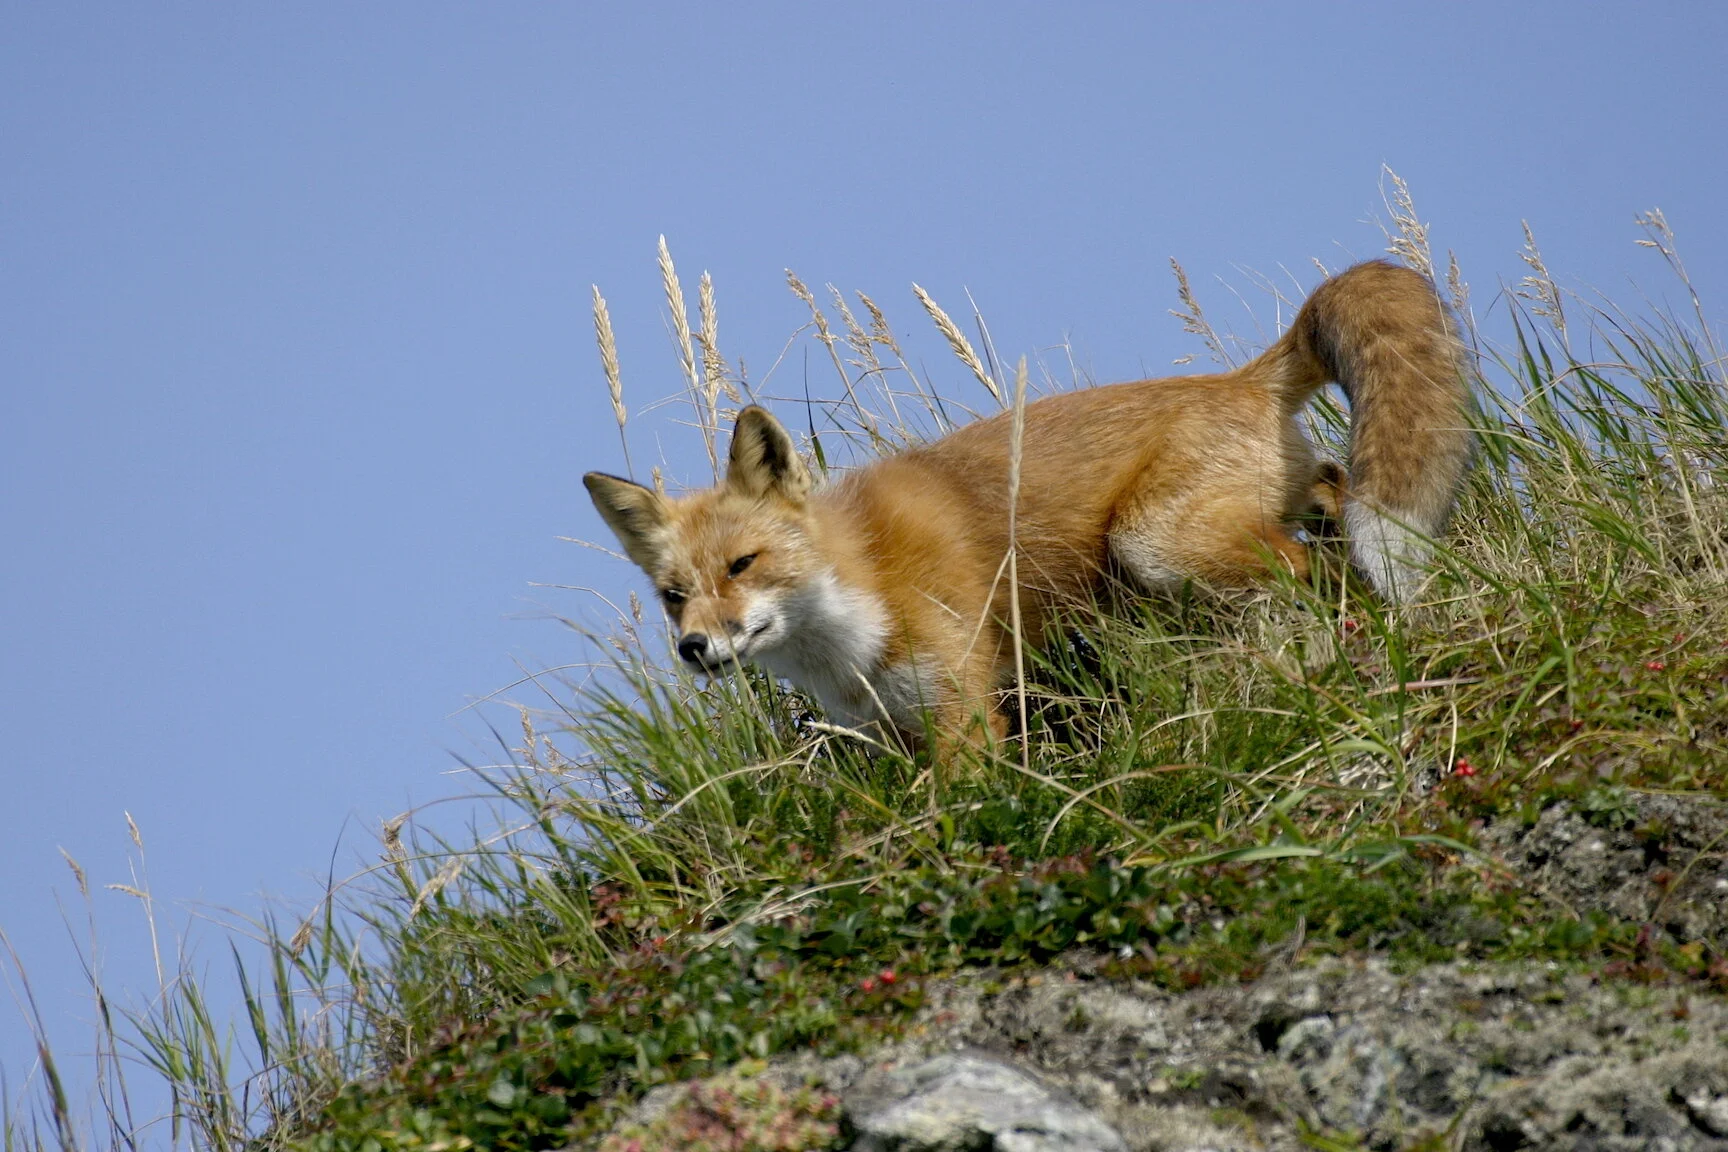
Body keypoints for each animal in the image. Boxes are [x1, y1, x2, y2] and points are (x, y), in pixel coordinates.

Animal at [585, 260, 1472, 755]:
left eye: (743, 565)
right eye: (672, 596)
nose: (695, 647)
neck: (859, 597)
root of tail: (1238, 379)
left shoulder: (965, 702)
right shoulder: (893, 731)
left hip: (1154, 545)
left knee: (1319, 569)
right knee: (1333, 487)